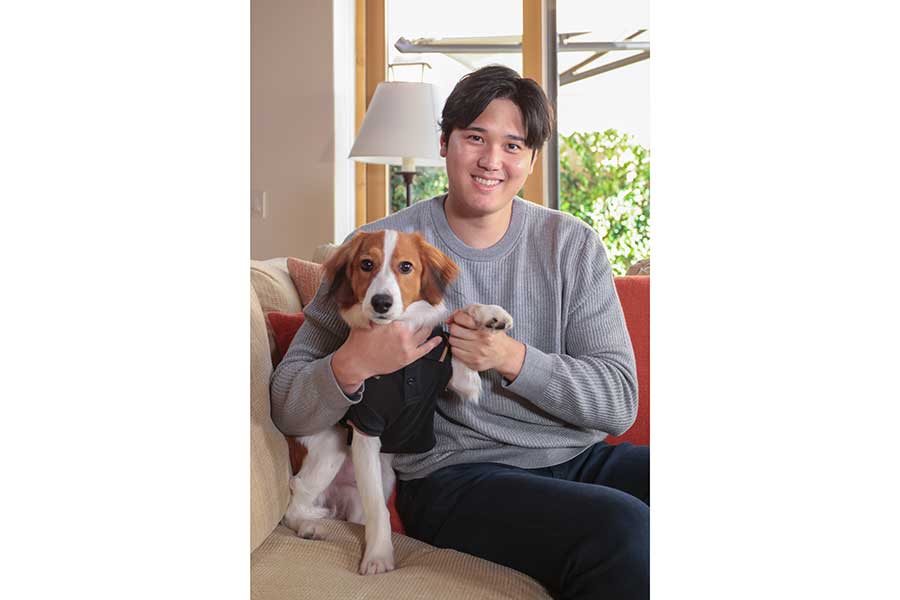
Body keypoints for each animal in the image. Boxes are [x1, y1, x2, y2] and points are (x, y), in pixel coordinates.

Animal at [282, 227, 512, 576]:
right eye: (366, 264)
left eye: (406, 267)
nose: (381, 302)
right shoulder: (366, 428)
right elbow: (379, 510)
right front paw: (378, 557)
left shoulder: (456, 377)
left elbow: (456, 320)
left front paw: (488, 315)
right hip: (333, 447)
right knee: (296, 497)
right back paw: (309, 526)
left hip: (379, 479)